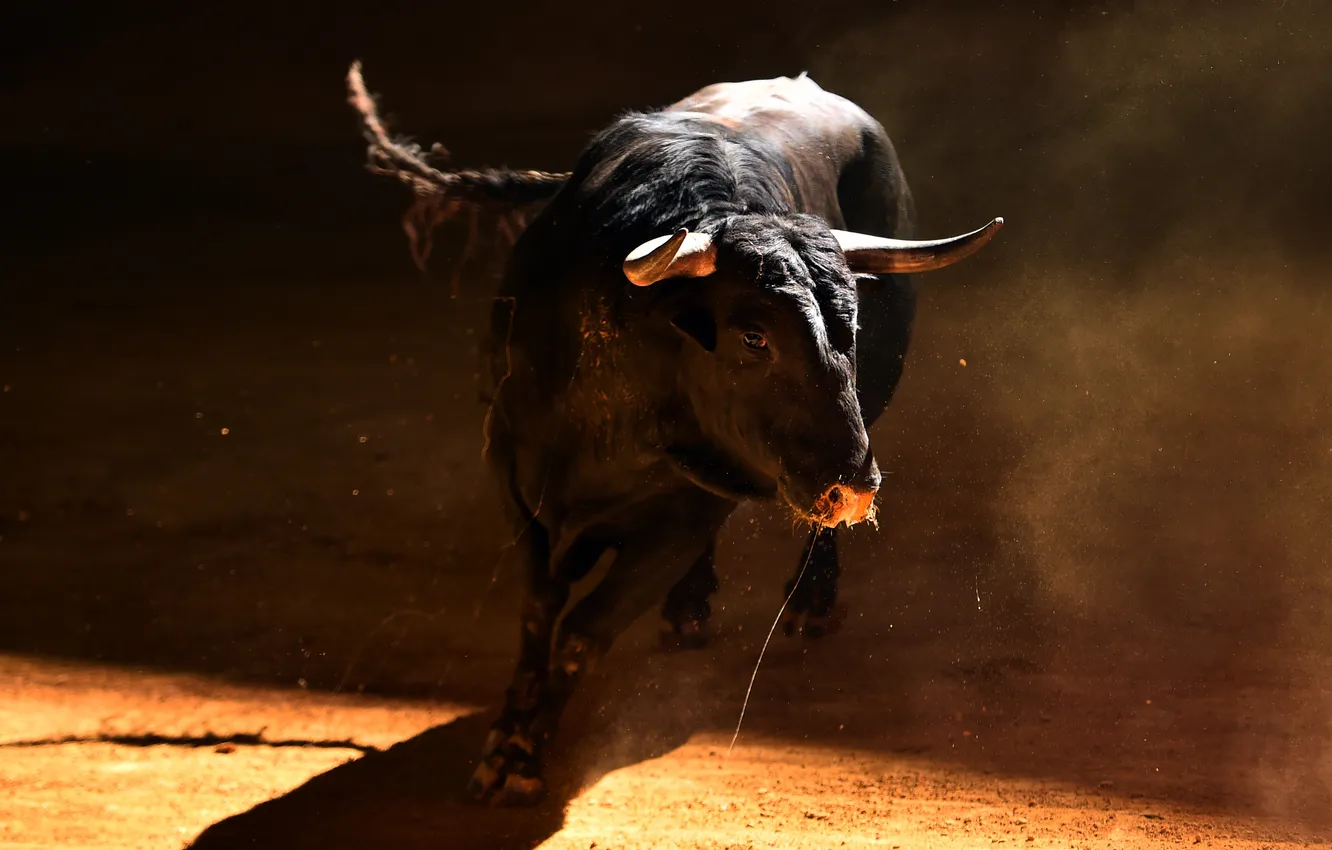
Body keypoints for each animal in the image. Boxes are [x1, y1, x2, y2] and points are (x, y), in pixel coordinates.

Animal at [347, 62, 1002, 805]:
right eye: (754, 336)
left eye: (852, 326)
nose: (853, 488)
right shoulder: (516, 480)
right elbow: (539, 611)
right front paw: (504, 744)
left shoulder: (684, 517)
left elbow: (583, 633)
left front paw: (523, 758)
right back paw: (691, 606)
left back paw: (807, 599)